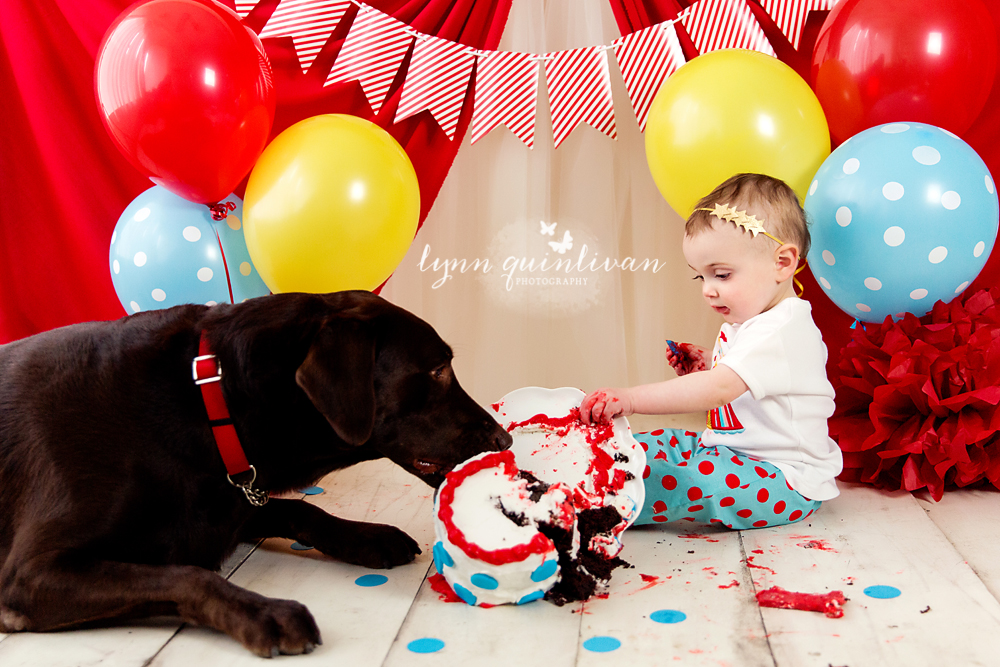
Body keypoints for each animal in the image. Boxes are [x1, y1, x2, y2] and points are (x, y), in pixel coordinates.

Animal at [0, 292, 508, 656]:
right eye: (438, 370)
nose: (505, 439)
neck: (208, 403)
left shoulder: (230, 501)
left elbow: (301, 509)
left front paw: (367, 536)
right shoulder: (30, 573)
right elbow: (189, 575)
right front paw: (264, 612)